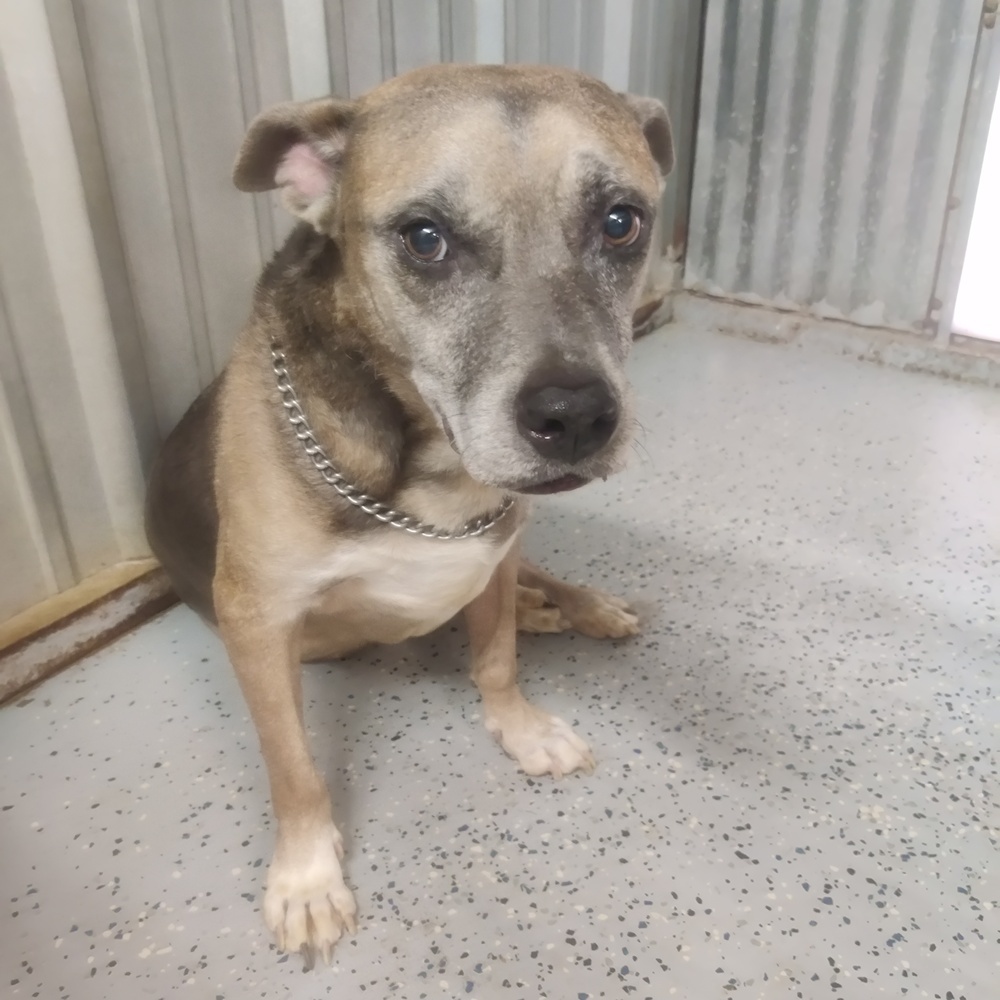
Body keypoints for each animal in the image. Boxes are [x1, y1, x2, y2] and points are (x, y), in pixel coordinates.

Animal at [145, 64, 676, 968]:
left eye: (620, 221)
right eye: (425, 238)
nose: (576, 416)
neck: (425, 462)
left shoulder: (494, 547)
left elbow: (496, 659)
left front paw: (519, 727)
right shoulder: (257, 620)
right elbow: (292, 765)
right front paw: (307, 877)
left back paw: (576, 605)